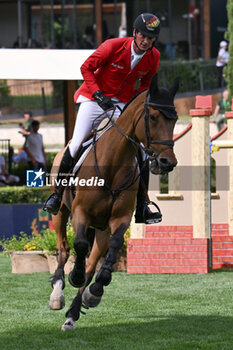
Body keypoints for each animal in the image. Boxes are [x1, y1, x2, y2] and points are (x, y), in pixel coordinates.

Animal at [48, 74, 178, 330]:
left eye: (175, 119)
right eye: (152, 117)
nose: (167, 162)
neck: (113, 165)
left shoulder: (120, 218)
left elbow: (115, 246)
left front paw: (96, 291)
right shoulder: (80, 212)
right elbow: (79, 245)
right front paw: (74, 276)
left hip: (101, 229)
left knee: (91, 264)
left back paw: (72, 314)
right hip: (61, 212)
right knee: (63, 249)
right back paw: (57, 295)